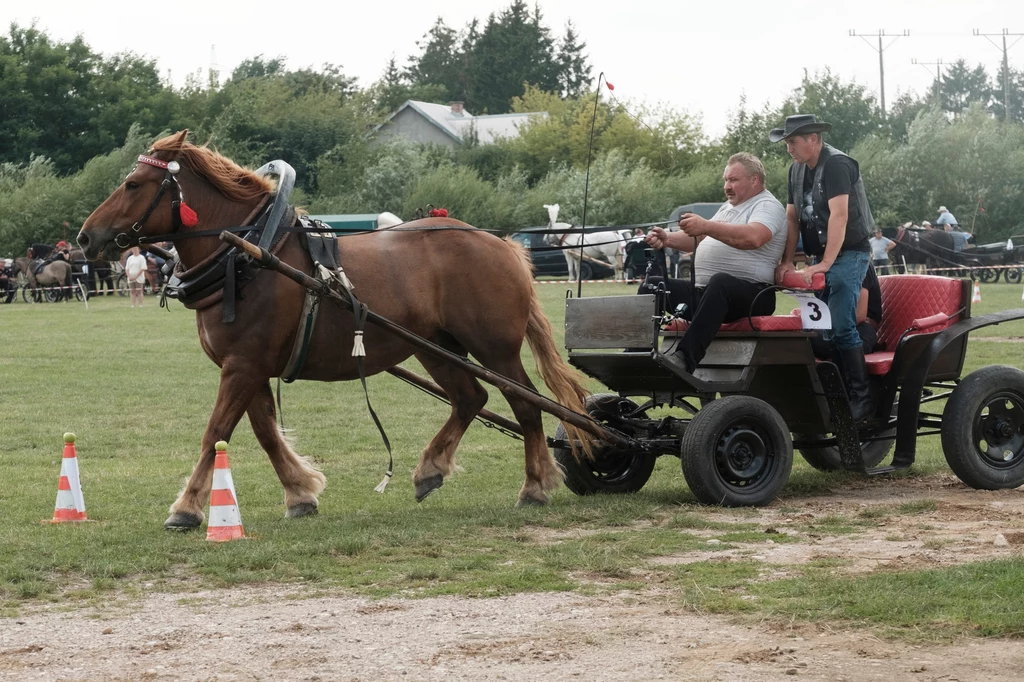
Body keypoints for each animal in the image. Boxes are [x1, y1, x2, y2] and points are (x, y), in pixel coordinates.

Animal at [77, 130, 593, 528]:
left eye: (133, 184)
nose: (85, 236)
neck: (250, 254)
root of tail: (503, 245)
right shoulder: (251, 366)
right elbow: (265, 432)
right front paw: (300, 492)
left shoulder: (242, 365)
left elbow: (216, 431)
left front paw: (186, 509)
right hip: (434, 347)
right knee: (471, 398)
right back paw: (431, 468)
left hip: (494, 349)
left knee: (525, 405)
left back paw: (534, 486)